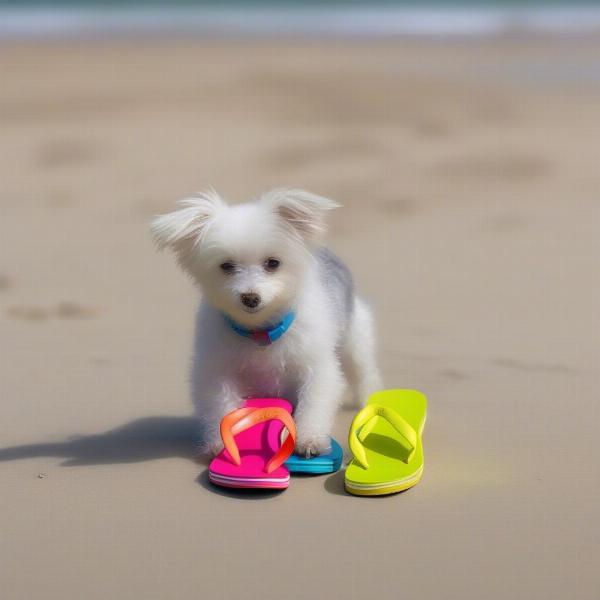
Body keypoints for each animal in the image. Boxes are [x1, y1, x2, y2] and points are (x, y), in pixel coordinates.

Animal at [152, 188, 382, 454]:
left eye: (273, 263)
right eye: (226, 266)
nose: (250, 298)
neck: (259, 333)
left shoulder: (316, 368)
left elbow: (314, 403)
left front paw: (310, 439)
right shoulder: (217, 372)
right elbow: (220, 406)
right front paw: (222, 443)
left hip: (354, 338)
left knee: (363, 372)